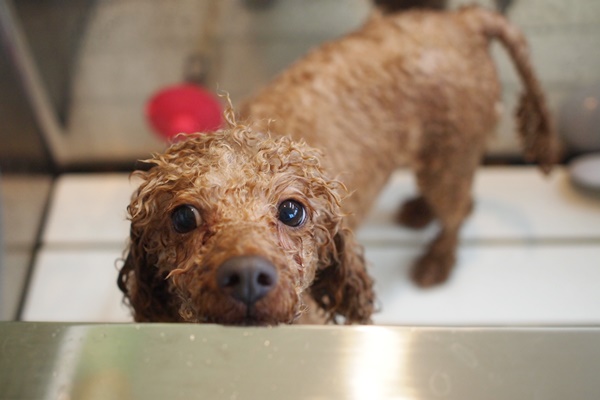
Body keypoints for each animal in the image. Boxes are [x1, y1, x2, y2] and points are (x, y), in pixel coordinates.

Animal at [118, 6, 558, 325]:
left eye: (292, 211)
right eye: (183, 217)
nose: (246, 276)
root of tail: (464, 19)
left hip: (450, 155)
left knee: (460, 208)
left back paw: (437, 261)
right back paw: (418, 211)